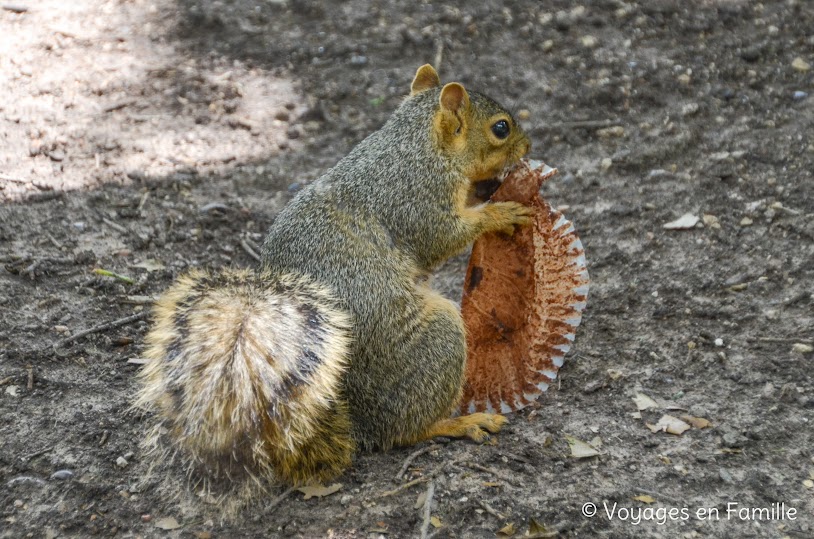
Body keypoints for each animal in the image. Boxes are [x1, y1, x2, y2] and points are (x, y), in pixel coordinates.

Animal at [137, 65, 536, 492]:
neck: (415, 145)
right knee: (403, 430)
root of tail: (351, 418)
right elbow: (442, 237)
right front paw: (500, 212)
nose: (528, 146)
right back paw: (456, 422)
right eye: (500, 128)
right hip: (435, 340)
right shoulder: (416, 200)